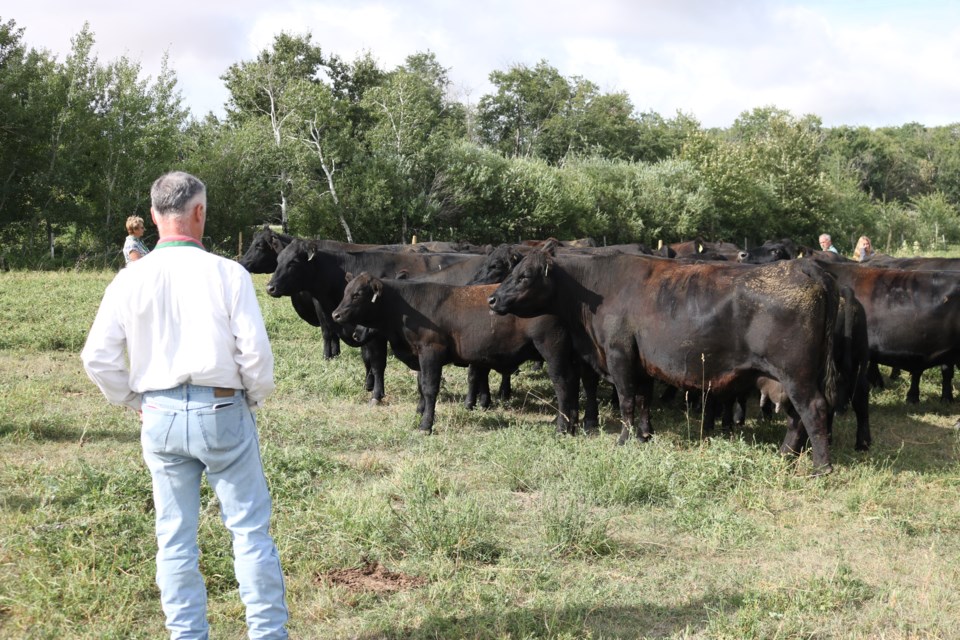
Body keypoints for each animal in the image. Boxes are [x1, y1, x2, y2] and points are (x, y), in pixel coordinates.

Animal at [334, 276, 576, 436]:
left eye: (357, 294)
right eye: (344, 292)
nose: (335, 314)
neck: (407, 308)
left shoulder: (431, 351)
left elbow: (430, 388)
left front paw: (426, 425)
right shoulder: (420, 355)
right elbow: (421, 385)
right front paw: (419, 411)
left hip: (552, 350)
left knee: (563, 386)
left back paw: (561, 428)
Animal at [488, 248, 840, 472]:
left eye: (525, 276)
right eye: (512, 272)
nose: (492, 299)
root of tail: (803, 267)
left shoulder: (619, 356)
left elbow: (627, 400)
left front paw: (624, 440)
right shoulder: (642, 363)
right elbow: (644, 400)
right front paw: (645, 435)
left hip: (797, 374)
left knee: (814, 410)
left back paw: (820, 467)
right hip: (785, 378)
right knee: (797, 418)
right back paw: (784, 455)